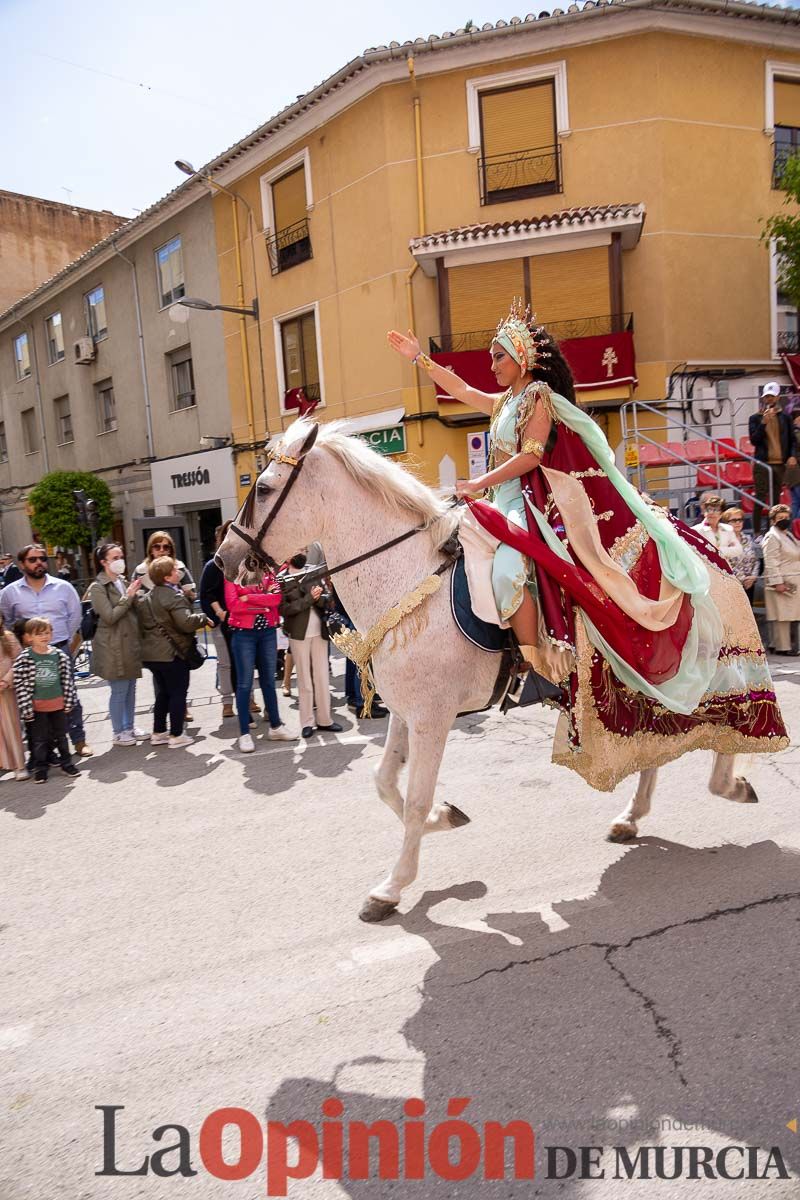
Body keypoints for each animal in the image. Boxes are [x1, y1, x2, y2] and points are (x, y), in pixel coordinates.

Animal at [217, 417, 758, 921]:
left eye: (263, 489)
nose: (224, 559)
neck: (407, 578)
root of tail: (708, 549)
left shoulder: (433, 718)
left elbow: (414, 798)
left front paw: (392, 886)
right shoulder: (406, 712)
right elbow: (385, 780)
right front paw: (443, 818)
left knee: (724, 721)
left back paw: (729, 783)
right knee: (657, 739)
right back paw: (634, 814)